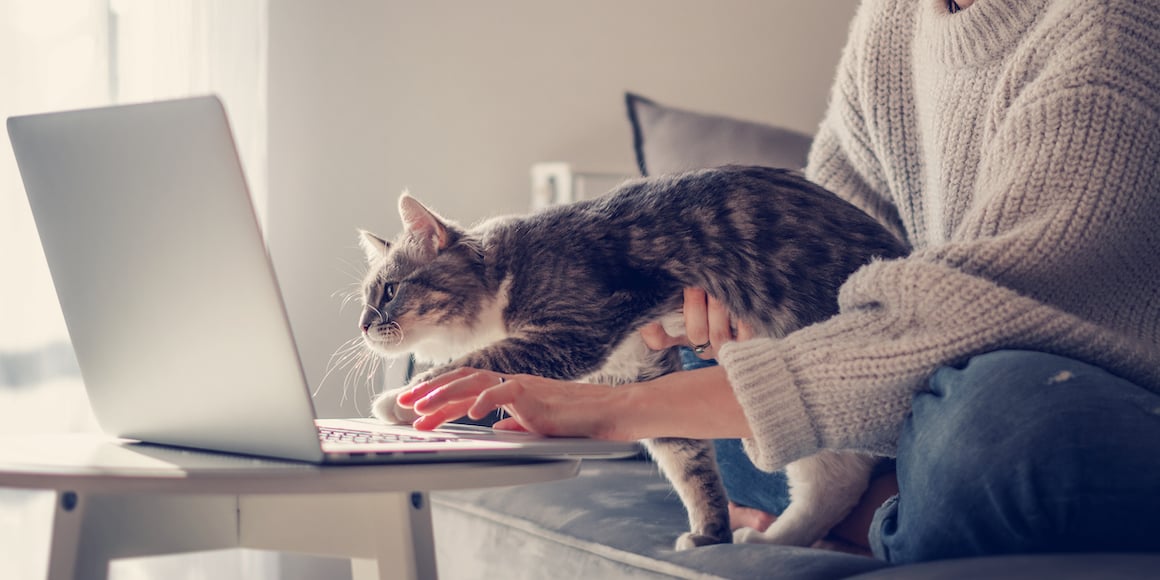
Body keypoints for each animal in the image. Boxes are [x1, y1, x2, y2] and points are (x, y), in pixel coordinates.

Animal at [357, 165, 909, 549]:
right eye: (366, 296)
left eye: (389, 291)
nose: (363, 325)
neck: (503, 268)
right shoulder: (640, 371)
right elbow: (689, 462)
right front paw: (712, 534)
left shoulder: (576, 329)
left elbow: (477, 362)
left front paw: (399, 399)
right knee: (836, 477)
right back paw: (775, 539)